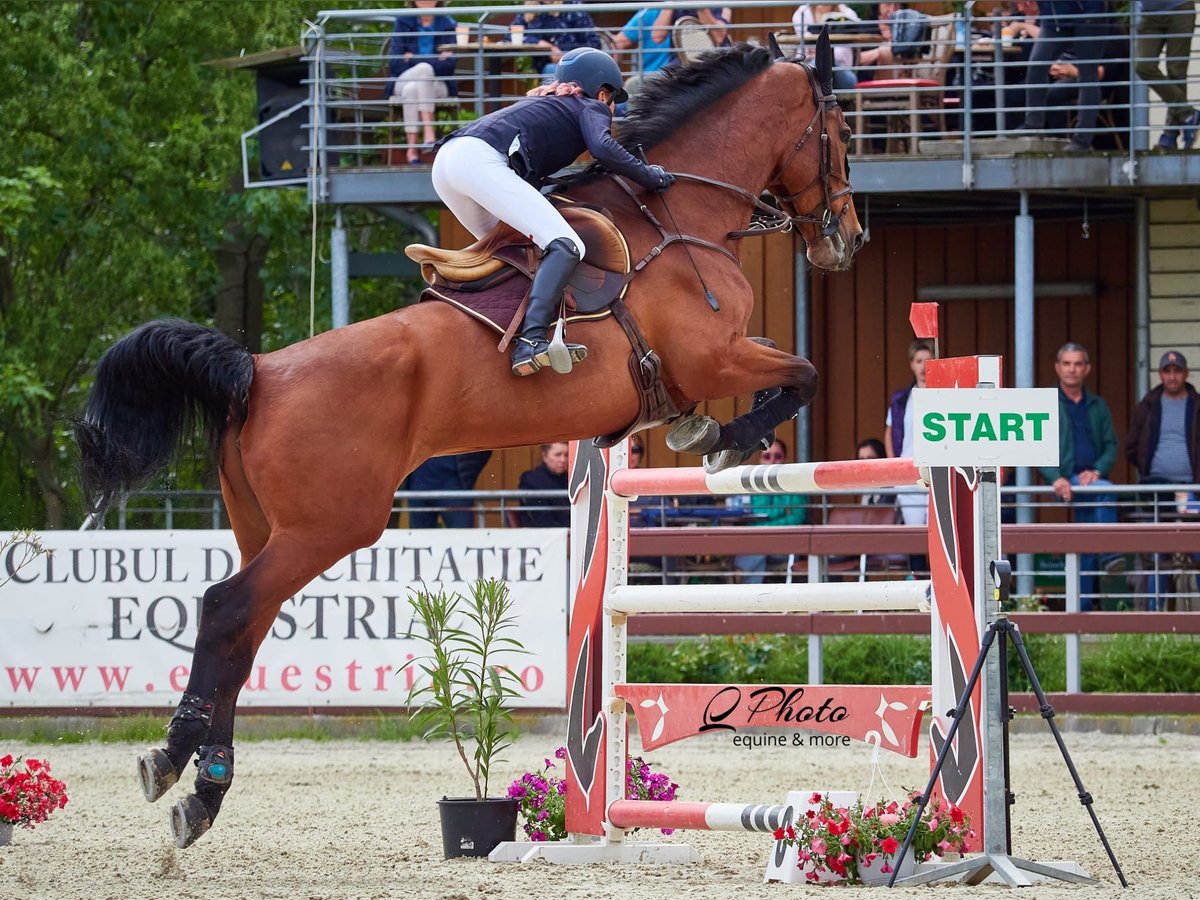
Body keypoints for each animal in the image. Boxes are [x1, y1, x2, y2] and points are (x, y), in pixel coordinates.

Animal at [72, 38, 864, 849]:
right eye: (840, 132)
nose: (847, 238)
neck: (681, 218)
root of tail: (255, 372)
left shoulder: (720, 359)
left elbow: (794, 374)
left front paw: (716, 434)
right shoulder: (714, 358)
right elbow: (803, 374)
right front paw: (723, 438)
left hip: (264, 526)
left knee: (243, 632)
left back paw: (203, 789)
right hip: (327, 527)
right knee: (228, 609)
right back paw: (175, 761)